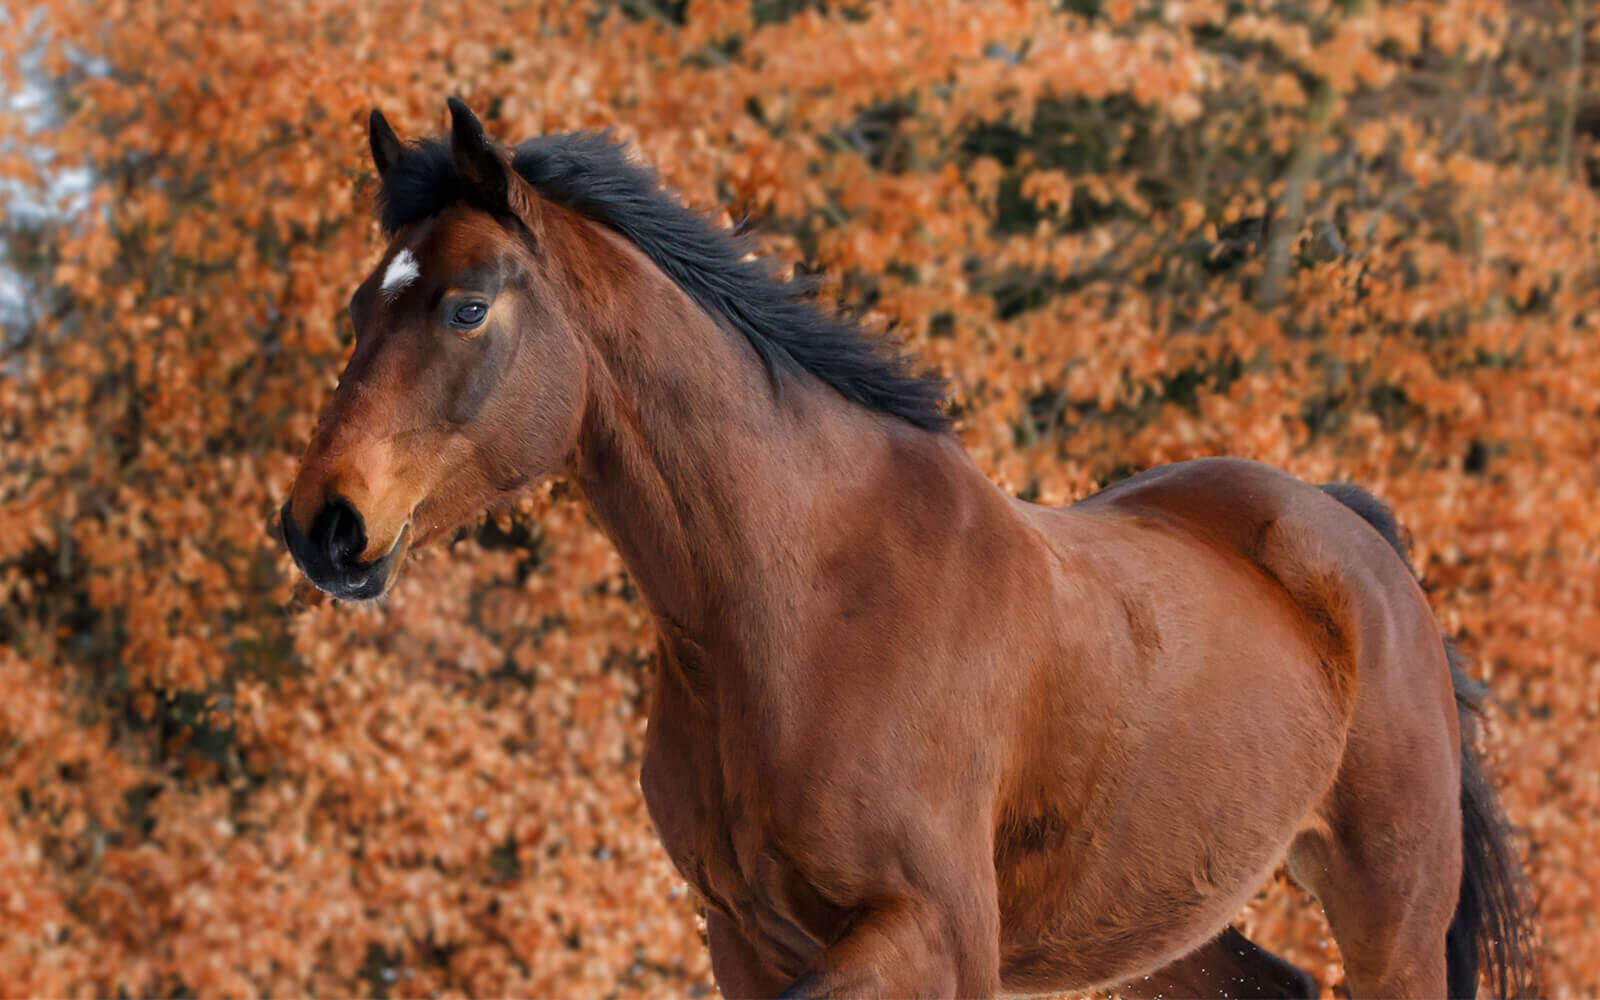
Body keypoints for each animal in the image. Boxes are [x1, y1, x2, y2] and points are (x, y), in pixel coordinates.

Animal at [281, 99, 1535, 999]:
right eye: (358, 309)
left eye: (466, 307)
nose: (321, 526)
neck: (801, 603)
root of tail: (1353, 534)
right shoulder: (743, 934)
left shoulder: (930, 934)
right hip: (1162, 925)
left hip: (1392, 915)